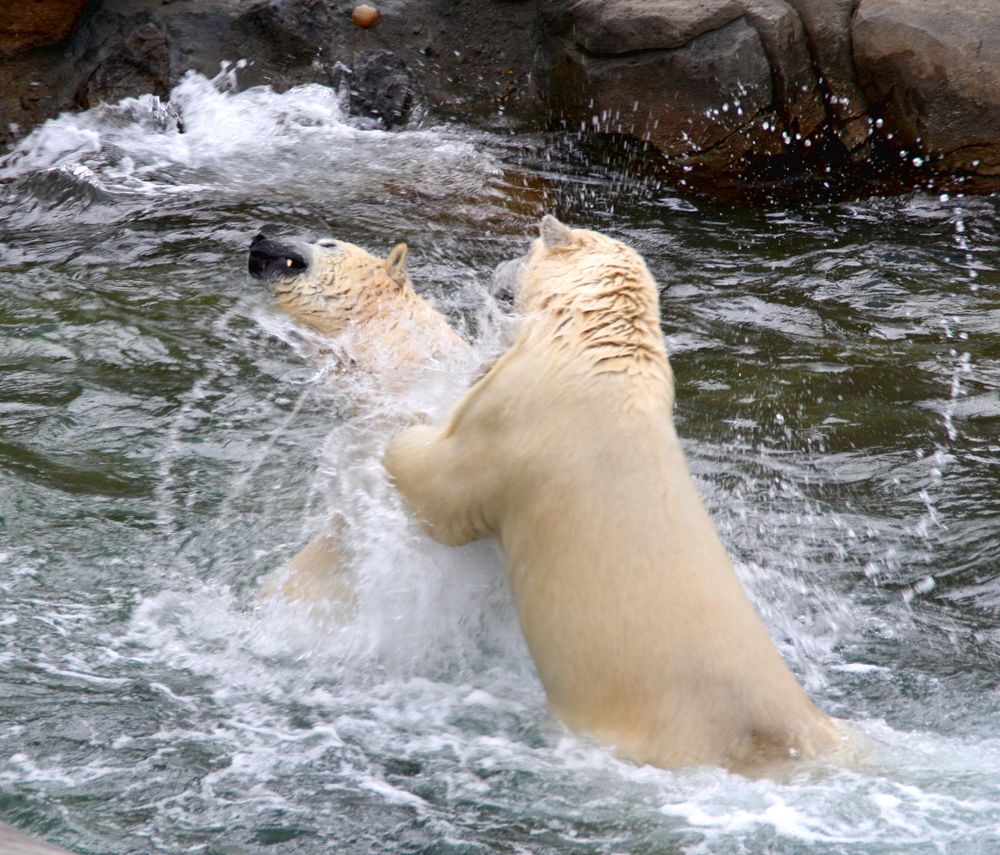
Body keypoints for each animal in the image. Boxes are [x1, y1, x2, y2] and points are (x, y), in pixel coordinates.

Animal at [382, 216, 844, 776]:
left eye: (527, 247)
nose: (499, 264)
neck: (590, 352)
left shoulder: (515, 423)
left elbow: (442, 494)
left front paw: (398, 426)